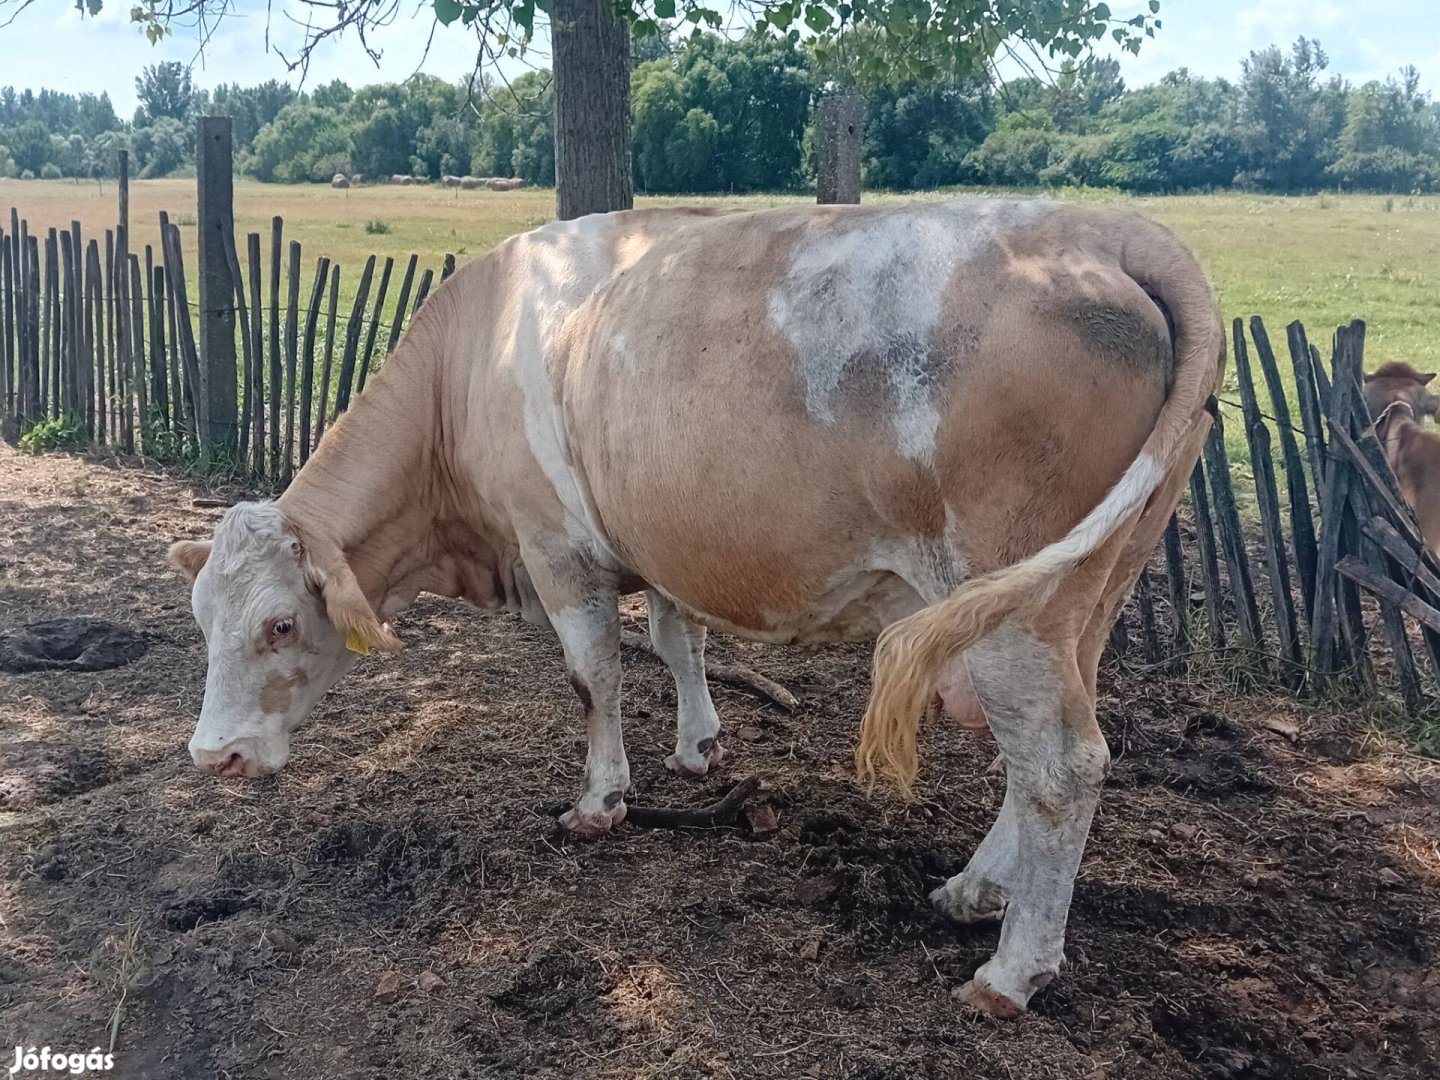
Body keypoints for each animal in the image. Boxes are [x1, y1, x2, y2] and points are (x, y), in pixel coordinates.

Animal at [168, 198, 1226, 1019]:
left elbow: (592, 678)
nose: (212, 757)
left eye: (278, 623)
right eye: (200, 621)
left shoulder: (558, 549)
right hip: (1088, 589)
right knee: (1040, 756)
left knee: (1062, 764)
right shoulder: (659, 543)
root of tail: (1105, 229)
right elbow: (680, 642)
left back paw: (1011, 970)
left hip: (1014, 597)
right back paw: (974, 888)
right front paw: (699, 746)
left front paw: (600, 801)